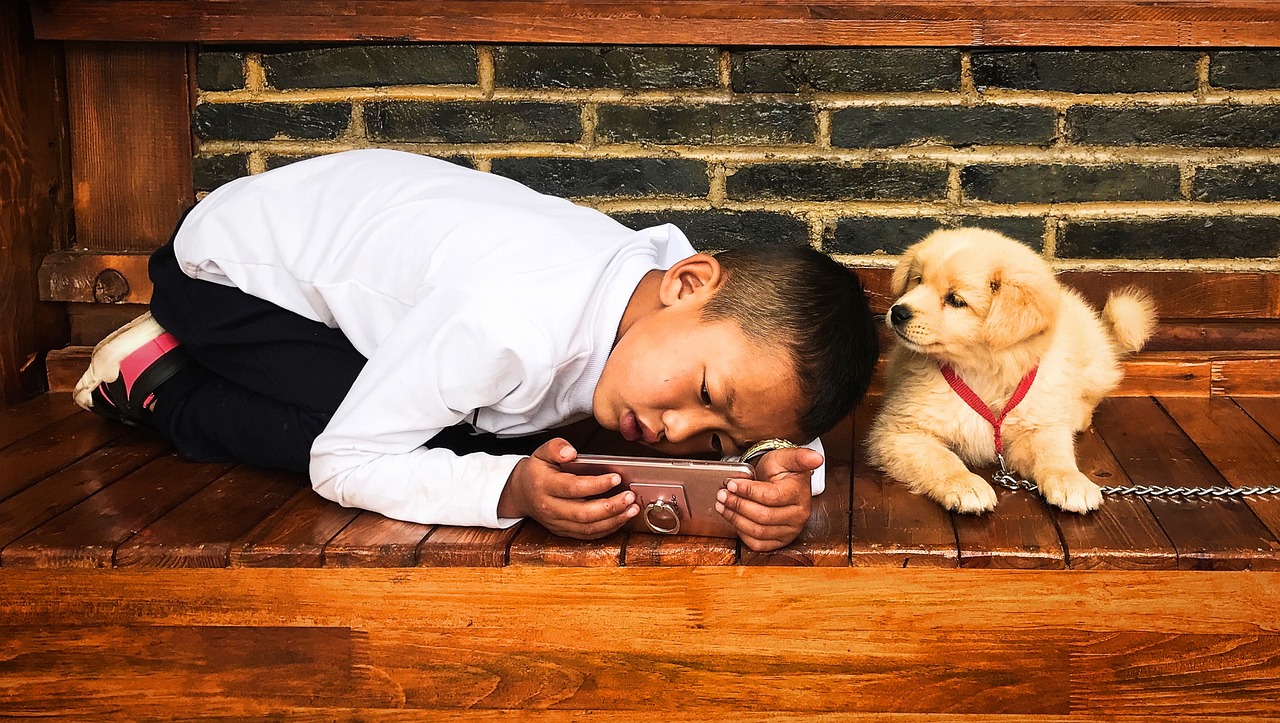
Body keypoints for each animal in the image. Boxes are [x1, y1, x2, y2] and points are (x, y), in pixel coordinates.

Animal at [865, 227, 1157, 509]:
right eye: (918, 280)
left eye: (955, 300)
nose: (898, 312)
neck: (981, 373)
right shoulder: (902, 432)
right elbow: (942, 460)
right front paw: (966, 485)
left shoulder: (1037, 424)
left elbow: (1053, 453)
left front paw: (1071, 482)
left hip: (1093, 364)